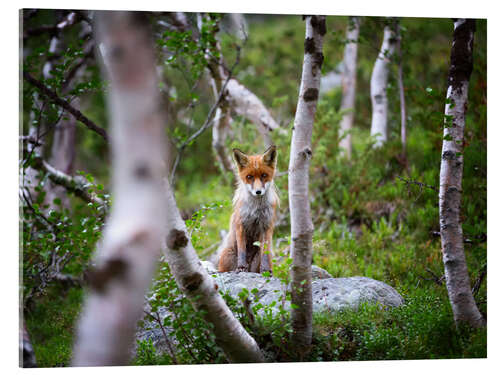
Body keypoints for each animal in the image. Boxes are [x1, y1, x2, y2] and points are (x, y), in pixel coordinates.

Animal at [219, 145, 280, 274]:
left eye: (264, 175)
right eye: (249, 177)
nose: (258, 192)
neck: (256, 210)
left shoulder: (267, 225)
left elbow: (265, 251)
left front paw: (265, 269)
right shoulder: (240, 224)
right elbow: (242, 249)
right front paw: (241, 267)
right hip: (227, 256)